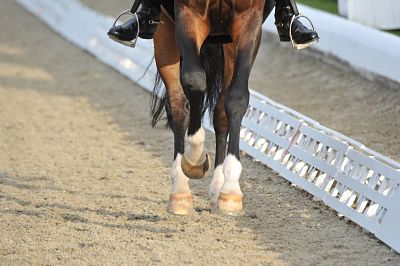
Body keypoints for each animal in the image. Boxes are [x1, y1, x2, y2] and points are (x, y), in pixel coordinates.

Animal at [152, 0, 274, 216]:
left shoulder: (249, 17)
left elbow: (237, 98)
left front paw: (231, 190)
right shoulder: (189, 13)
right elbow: (194, 80)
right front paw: (194, 160)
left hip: (228, 46)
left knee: (220, 113)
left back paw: (218, 188)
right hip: (165, 31)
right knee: (178, 105)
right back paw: (180, 191)